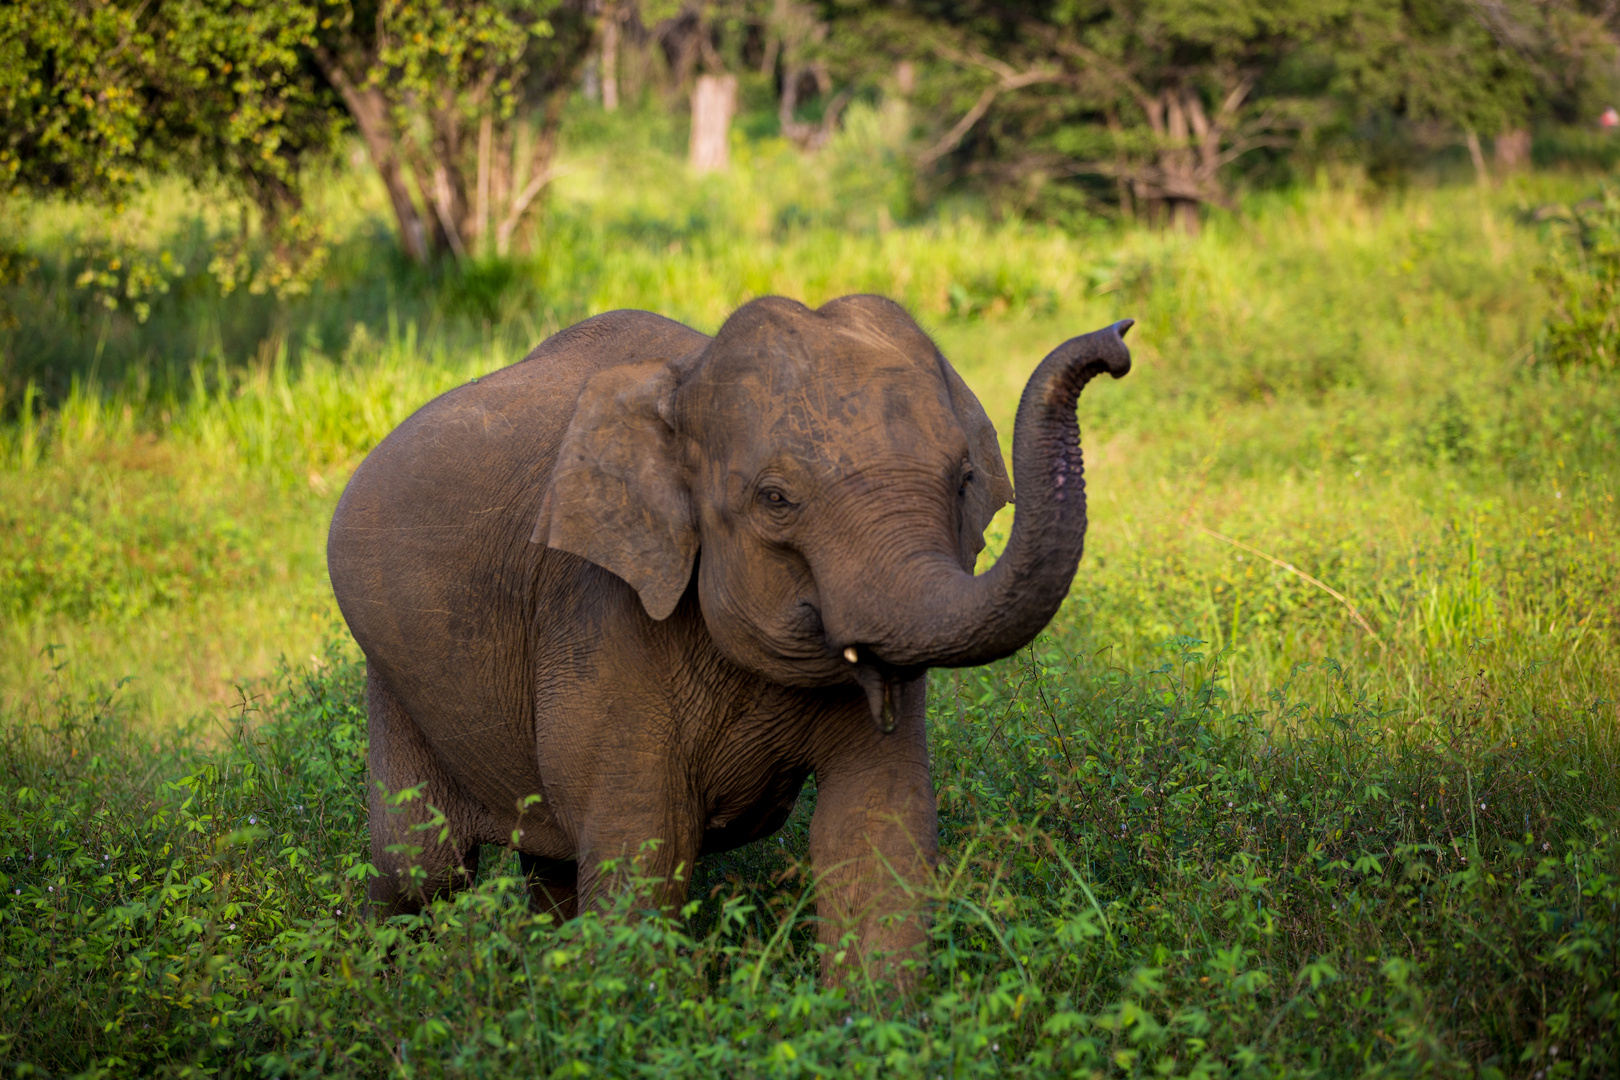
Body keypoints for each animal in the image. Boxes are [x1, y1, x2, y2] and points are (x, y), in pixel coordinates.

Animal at [324, 293, 1134, 977]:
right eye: (775, 500)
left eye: (964, 479)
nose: (1119, 338)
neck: (684, 386)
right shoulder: (600, 611)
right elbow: (643, 851)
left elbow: (876, 829)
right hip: (392, 675)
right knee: (419, 865)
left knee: (544, 866)